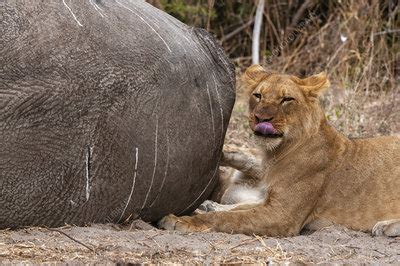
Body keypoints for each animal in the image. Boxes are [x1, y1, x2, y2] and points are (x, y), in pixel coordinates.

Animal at [158, 65, 398, 236]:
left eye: (286, 99)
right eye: (258, 95)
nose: (261, 118)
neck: (278, 152)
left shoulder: (282, 214)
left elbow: (231, 219)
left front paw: (181, 221)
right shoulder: (270, 199)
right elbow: (237, 209)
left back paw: (386, 226)